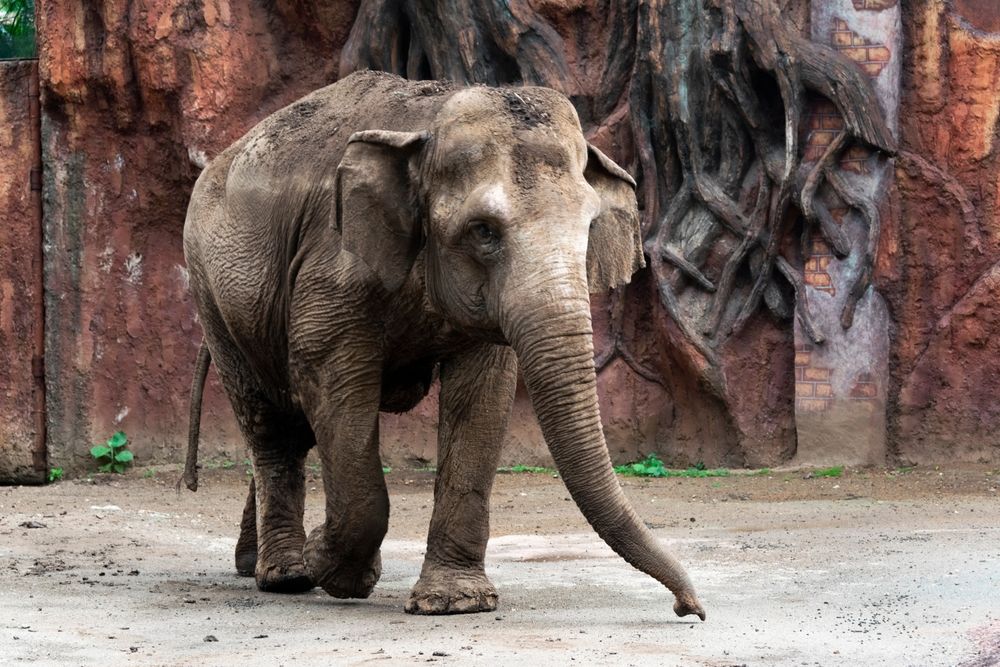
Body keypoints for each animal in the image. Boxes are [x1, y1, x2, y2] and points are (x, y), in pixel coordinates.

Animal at [181, 70, 705, 620]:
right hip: (211, 290)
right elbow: (331, 378)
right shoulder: (332, 264)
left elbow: (482, 394)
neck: (427, 126)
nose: (688, 609)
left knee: (292, 427)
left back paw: (254, 563)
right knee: (269, 423)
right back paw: (287, 574)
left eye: (587, 229)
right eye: (483, 231)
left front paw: (455, 603)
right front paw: (334, 567)